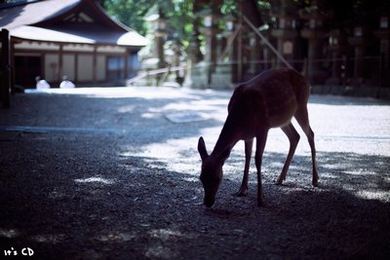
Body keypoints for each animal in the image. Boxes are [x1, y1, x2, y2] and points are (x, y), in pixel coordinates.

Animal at [197, 67, 318, 207]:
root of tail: (306, 80)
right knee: (295, 136)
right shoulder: (248, 136)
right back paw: (280, 178)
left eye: (217, 178)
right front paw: (242, 190)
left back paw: (315, 179)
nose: (207, 202)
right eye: (201, 177)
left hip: (302, 106)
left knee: (310, 134)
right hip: (283, 119)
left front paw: (260, 199)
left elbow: (258, 159)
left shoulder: (263, 129)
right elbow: (247, 157)